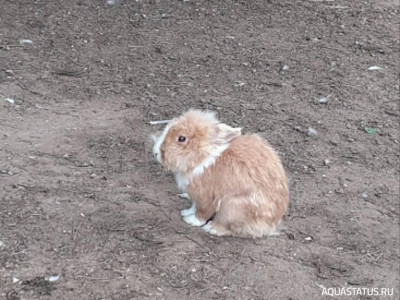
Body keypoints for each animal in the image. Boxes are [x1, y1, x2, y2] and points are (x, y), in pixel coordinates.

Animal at [152, 109, 290, 238]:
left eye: (182, 138)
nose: (156, 153)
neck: (203, 156)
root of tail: (270, 225)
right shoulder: (196, 195)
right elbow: (194, 206)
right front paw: (186, 212)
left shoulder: (207, 196)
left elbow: (202, 213)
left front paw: (190, 220)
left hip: (232, 208)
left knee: (235, 230)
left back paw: (212, 228)